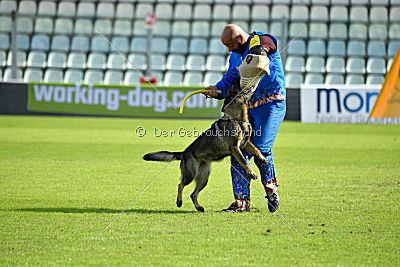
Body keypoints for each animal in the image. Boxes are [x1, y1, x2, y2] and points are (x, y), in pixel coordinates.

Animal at [142, 78, 268, 213]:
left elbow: (256, 149)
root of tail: (184, 152)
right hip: (190, 174)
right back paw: (179, 202)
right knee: (180, 185)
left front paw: (263, 159)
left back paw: (199, 207)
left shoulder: (245, 144)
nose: (236, 77)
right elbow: (244, 161)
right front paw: (251, 173)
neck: (237, 119)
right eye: (235, 87)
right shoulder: (235, 148)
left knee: (193, 194)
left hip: (204, 178)